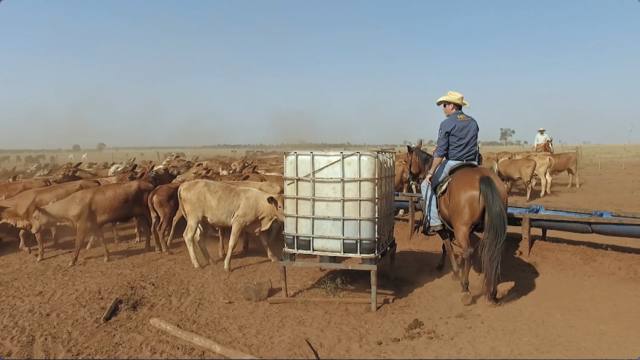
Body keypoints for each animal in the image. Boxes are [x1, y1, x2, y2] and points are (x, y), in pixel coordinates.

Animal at [428, 166, 508, 304]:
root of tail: (482, 176)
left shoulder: (446, 227)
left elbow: (447, 246)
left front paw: (454, 272)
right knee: (493, 252)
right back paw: (492, 293)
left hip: (461, 228)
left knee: (467, 252)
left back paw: (465, 289)